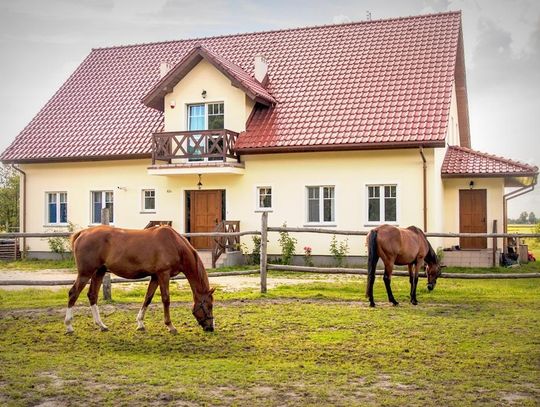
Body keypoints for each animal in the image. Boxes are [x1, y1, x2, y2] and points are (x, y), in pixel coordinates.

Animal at [68, 226, 217, 334]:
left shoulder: (155, 276)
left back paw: (101, 325)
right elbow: (166, 299)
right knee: (73, 293)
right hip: (85, 273)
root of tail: (82, 233)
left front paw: (140, 323)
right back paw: (69, 326)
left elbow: (148, 298)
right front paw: (170, 326)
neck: (175, 245)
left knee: (92, 295)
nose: (210, 328)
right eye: (209, 306)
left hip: (99, 272)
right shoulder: (163, 274)